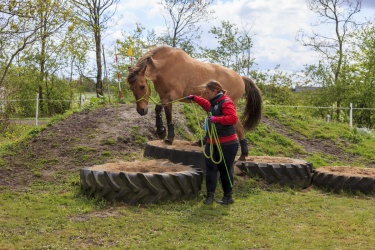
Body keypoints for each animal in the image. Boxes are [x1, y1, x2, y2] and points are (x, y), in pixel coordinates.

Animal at [126, 45, 262, 158]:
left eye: (142, 86)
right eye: (131, 88)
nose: (141, 110)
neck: (164, 66)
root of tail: (241, 78)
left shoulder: (172, 96)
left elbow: (158, 108)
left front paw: (161, 131)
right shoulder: (166, 97)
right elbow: (169, 116)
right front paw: (169, 138)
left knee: (238, 126)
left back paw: (243, 154)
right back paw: (201, 142)